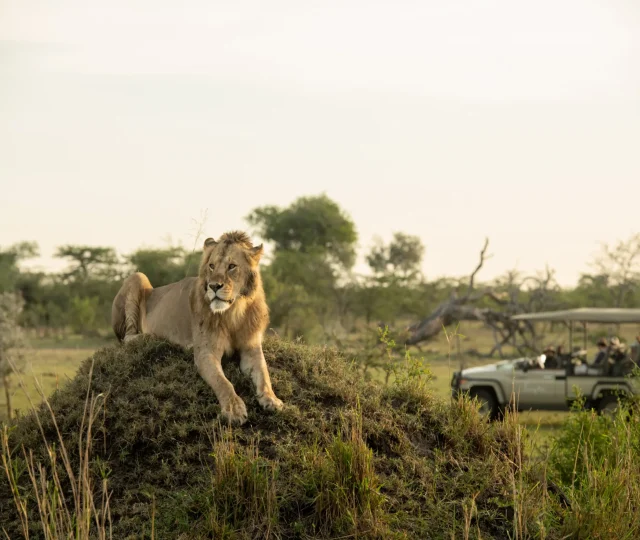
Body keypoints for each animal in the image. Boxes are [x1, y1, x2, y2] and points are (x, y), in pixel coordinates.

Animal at [111, 232, 284, 426]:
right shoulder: (205, 353)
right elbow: (223, 382)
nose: (214, 286)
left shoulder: (251, 348)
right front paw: (234, 409)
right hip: (137, 276)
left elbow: (264, 373)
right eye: (212, 266)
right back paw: (153, 337)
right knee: (128, 337)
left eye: (232, 266)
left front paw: (271, 399)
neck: (233, 313)